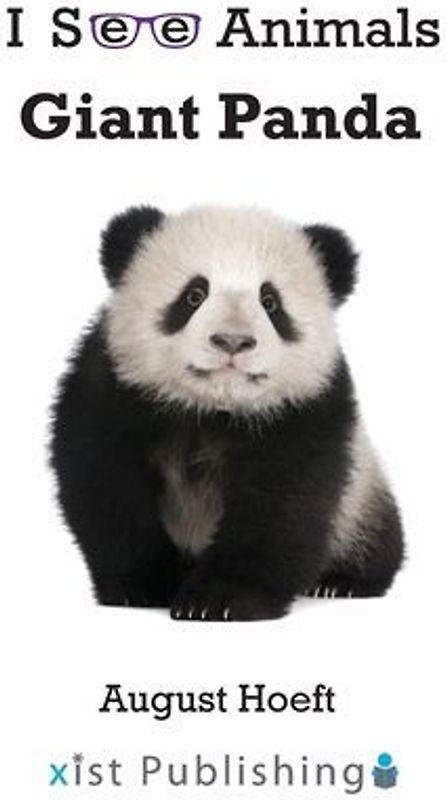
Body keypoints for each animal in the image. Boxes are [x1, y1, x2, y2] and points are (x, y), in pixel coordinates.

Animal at [51, 204, 404, 621]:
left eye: (270, 301)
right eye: (194, 294)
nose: (232, 341)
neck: (212, 408)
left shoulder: (306, 410)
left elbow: (281, 504)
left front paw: (220, 600)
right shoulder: (113, 390)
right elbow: (106, 485)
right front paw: (141, 585)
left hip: (361, 497)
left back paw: (341, 582)